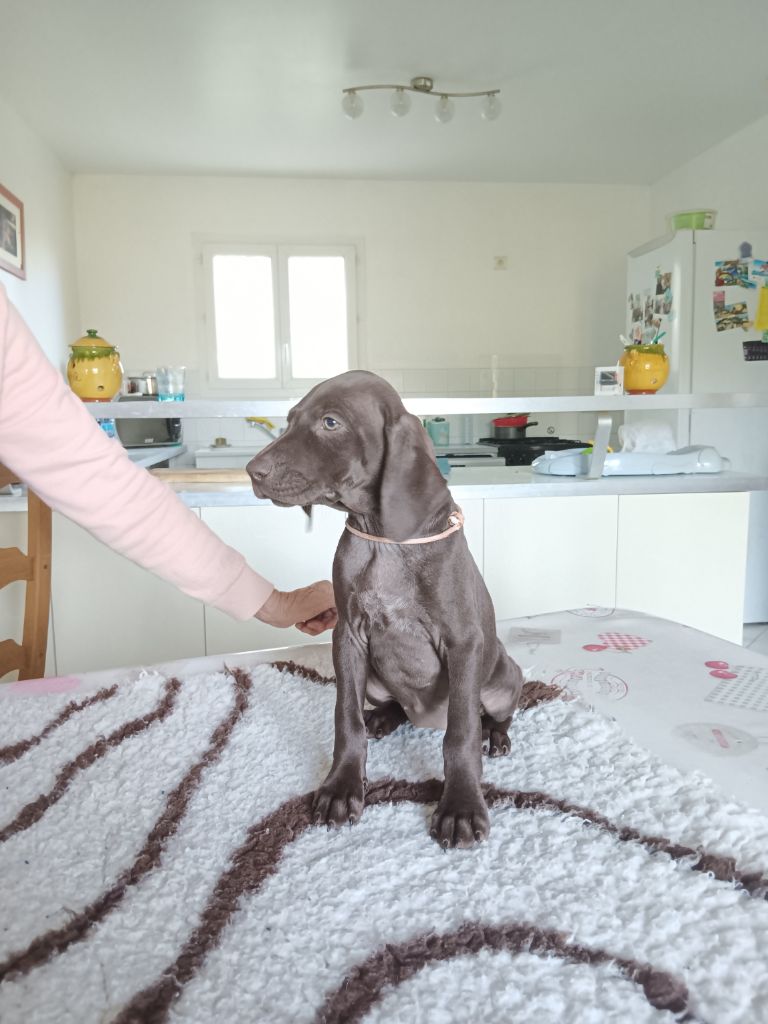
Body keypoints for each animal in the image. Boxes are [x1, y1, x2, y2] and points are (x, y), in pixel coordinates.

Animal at [249, 368, 528, 847]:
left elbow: (461, 732)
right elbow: (345, 718)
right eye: (289, 420)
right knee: (391, 705)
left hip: (503, 677)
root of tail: (424, 717)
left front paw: (461, 805)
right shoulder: (347, 636)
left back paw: (496, 735)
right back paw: (384, 717)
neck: (385, 537)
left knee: (491, 713)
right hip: (376, 678)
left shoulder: (464, 642)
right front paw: (342, 786)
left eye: (331, 423)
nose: (252, 471)